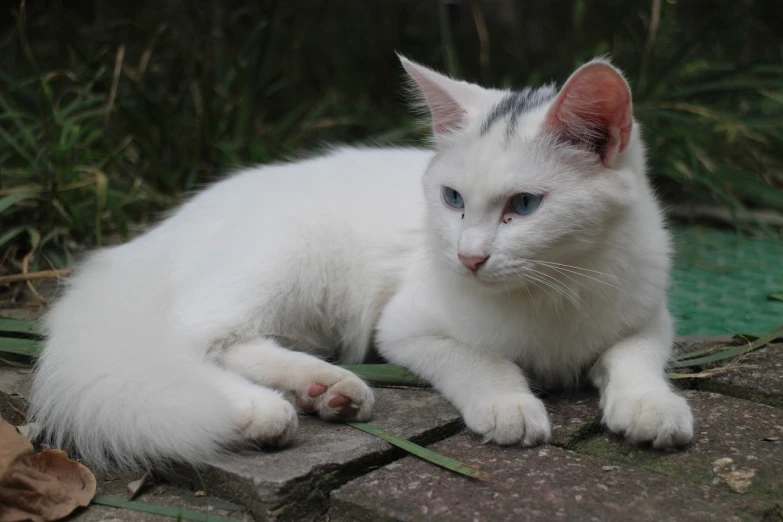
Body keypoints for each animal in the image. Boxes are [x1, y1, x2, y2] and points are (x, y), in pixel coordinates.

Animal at [29, 54, 692, 470]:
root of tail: (139, 243)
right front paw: (509, 404)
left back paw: (326, 389)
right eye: (452, 199)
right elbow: (482, 359)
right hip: (286, 255)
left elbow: (633, 357)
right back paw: (253, 410)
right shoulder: (406, 326)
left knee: (234, 340)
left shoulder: (651, 316)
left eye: (524, 206)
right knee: (185, 340)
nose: (468, 257)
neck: (559, 283)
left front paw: (650, 405)